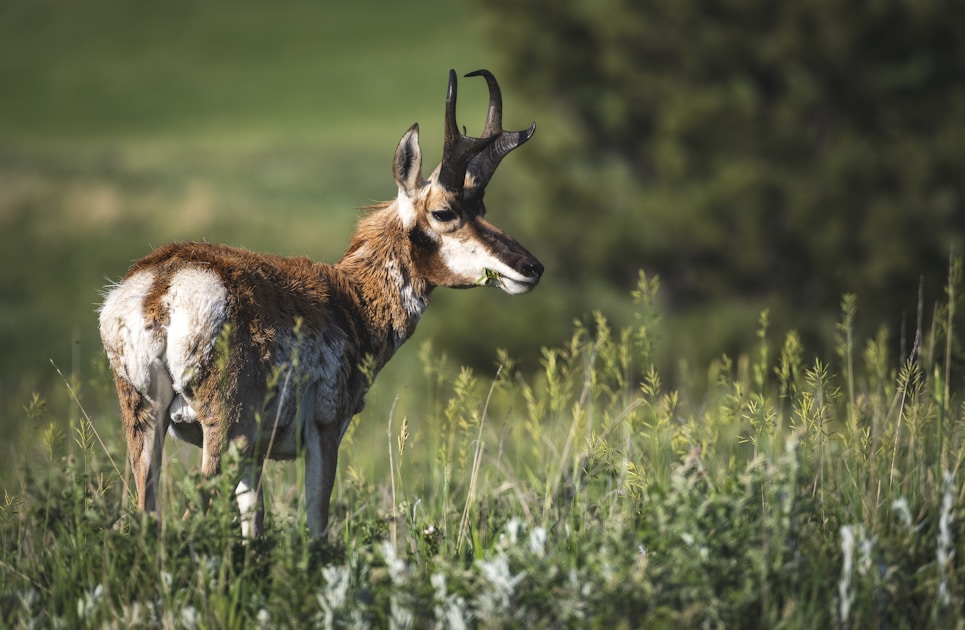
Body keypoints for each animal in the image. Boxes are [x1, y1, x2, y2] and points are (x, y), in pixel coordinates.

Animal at [98, 69, 543, 538]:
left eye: (482, 206)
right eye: (443, 212)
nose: (532, 267)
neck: (348, 298)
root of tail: (161, 287)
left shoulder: (256, 457)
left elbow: (254, 521)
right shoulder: (325, 432)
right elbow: (317, 519)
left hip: (145, 422)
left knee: (144, 512)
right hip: (224, 432)